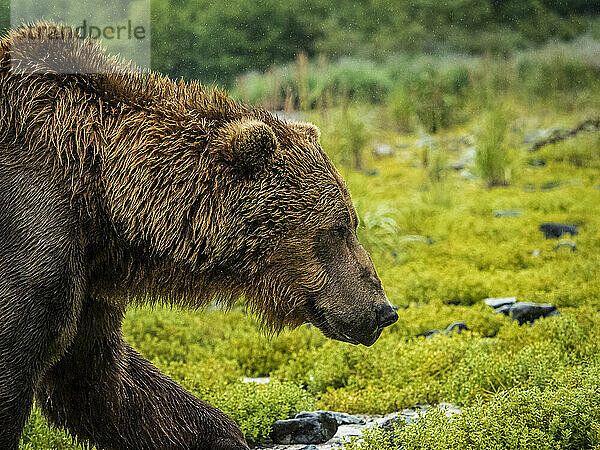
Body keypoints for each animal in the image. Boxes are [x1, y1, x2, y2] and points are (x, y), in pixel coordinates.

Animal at [0, 22, 398, 448]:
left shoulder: (89, 277)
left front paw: (222, 432)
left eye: (350, 222)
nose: (384, 311)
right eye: (338, 228)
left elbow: (98, 377)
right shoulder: (37, 225)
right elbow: (21, 354)